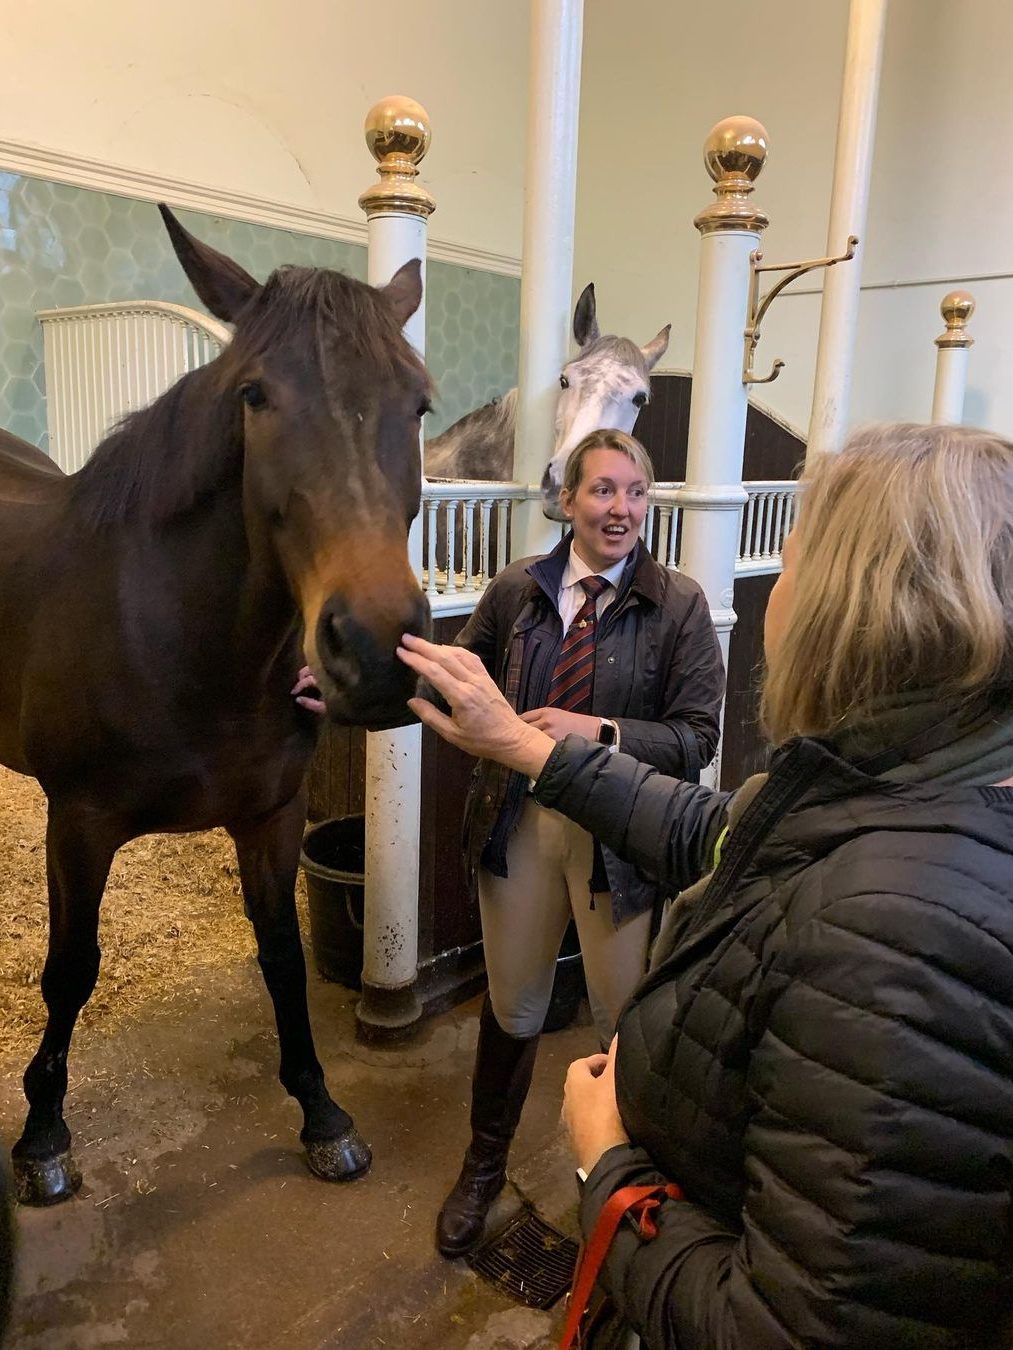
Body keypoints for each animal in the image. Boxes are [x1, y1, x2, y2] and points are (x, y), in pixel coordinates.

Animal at [0, 207, 432, 1204]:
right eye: (255, 396)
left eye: (419, 405)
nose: (374, 651)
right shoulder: (77, 823)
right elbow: (69, 971)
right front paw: (43, 1139)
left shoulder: (269, 815)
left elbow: (280, 955)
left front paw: (321, 1115)